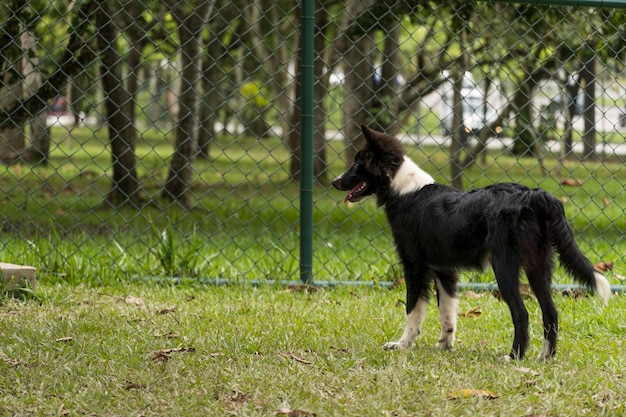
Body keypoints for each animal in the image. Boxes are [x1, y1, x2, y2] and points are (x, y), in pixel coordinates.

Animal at [334, 122, 608, 358]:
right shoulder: (444, 271)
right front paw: (445, 345)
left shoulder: (415, 267)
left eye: (358, 163)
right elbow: (447, 313)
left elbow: (412, 310)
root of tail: (535, 195)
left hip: (504, 267)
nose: (334, 181)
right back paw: (545, 357)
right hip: (537, 266)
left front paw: (402, 345)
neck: (402, 188)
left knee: (522, 314)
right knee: (550, 312)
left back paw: (514, 357)